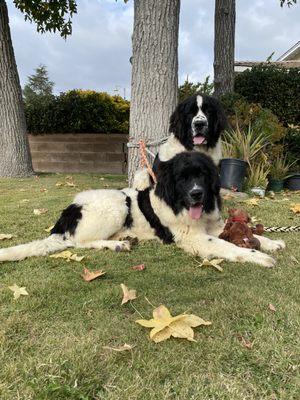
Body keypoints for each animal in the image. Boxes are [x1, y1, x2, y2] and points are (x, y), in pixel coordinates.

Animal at [0, 152, 284, 268]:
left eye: (203, 176)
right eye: (183, 178)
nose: (197, 194)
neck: (178, 203)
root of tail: (69, 210)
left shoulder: (211, 224)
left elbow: (242, 233)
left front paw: (270, 243)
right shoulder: (194, 238)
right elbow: (226, 245)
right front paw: (257, 255)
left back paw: (125, 239)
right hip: (116, 205)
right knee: (79, 242)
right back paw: (116, 244)